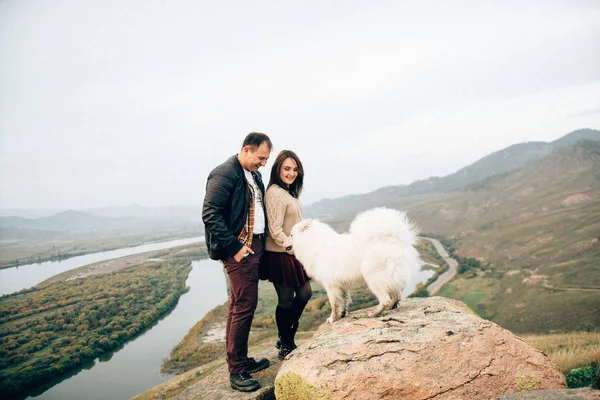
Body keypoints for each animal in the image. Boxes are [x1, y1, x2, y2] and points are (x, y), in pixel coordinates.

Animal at [292, 208, 420, 324]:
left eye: (291, 234)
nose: (285, 242)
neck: (316, 245)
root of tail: (394, 240)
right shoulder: (340, 286)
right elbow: (343, 302)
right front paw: (342, 315)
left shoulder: (331, 286)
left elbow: (334, 304)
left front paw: (332, 319)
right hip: (387, 277)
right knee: (396, 294)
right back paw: (390, 308)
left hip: (373, 279)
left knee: (385, 300)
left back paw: (373, 313)